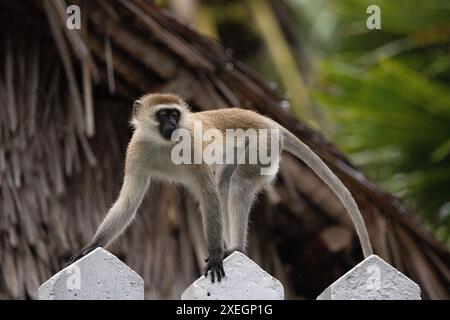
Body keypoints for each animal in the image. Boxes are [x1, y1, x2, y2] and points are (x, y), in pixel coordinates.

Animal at [68, 92, 372, 282]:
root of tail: (269, 121)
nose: (172, 123)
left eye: (175, 114)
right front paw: (91, 246)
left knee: (238, 184)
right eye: (163, 114)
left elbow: (208, 195)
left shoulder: (190, 146)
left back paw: (235, 248)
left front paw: (215, 254)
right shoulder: (136, 150)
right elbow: (129, 201)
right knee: (224, 183)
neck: (163, 144)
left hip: (264, 144)